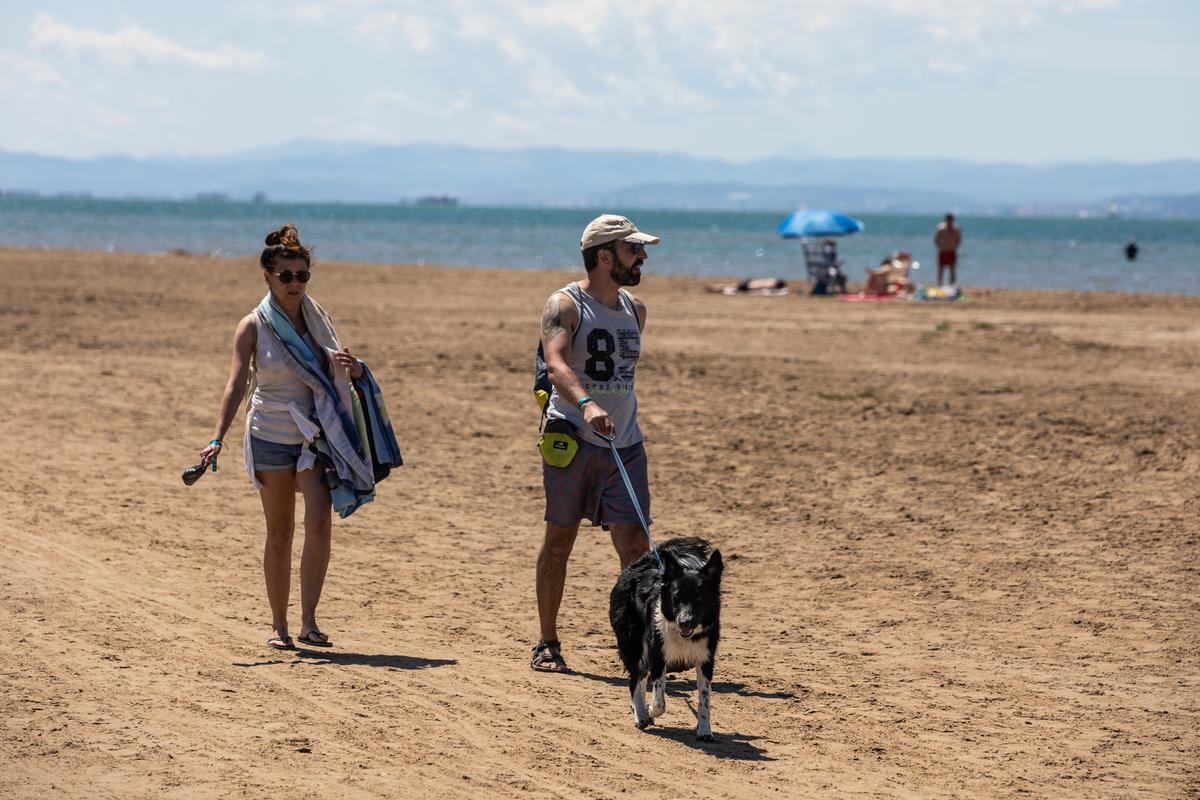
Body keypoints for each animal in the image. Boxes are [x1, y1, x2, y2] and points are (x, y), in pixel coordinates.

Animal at [609, 534, 720, 743]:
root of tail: (644, 562)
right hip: (633, 645)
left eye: (699, 598)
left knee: (641, 677)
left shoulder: (706, 659)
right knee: (635, 680)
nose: (684, 621)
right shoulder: (658, 655)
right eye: (676, 597)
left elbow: (704, 699)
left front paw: (704, 730)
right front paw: (650, 710)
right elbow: (660, 701)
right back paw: (641, 715)